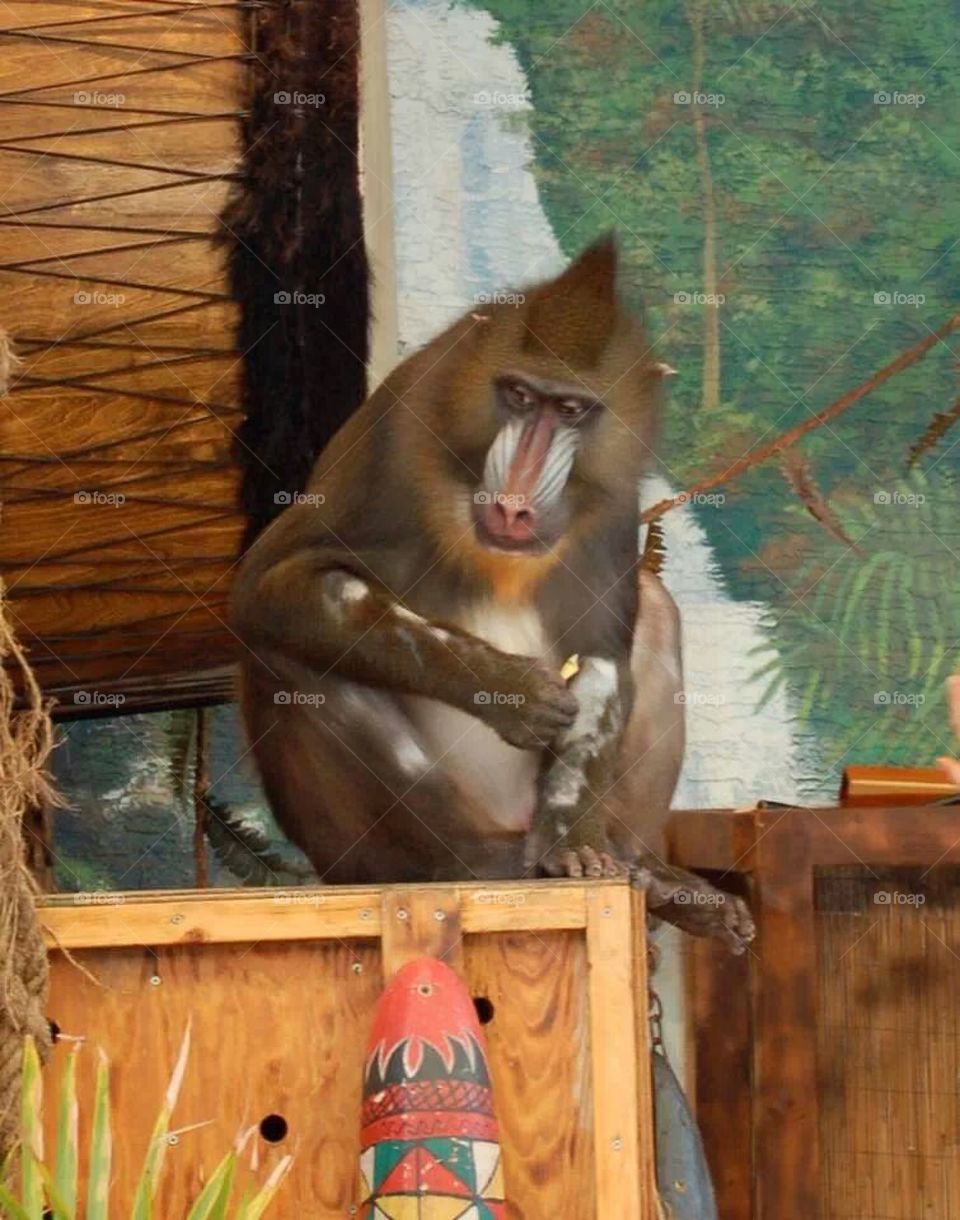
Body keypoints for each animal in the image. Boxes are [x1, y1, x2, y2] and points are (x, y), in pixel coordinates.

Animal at [229, 236, 754, 951]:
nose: (513, 506)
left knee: (658, 613)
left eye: (571, 411)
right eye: (518, 395)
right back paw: (458, 860)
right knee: (289, 651)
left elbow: (600, 654)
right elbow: (274, 586)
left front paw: (576, 844)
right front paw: (511, 690)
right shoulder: (395, 435)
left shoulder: (614, 504)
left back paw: (651, 876)